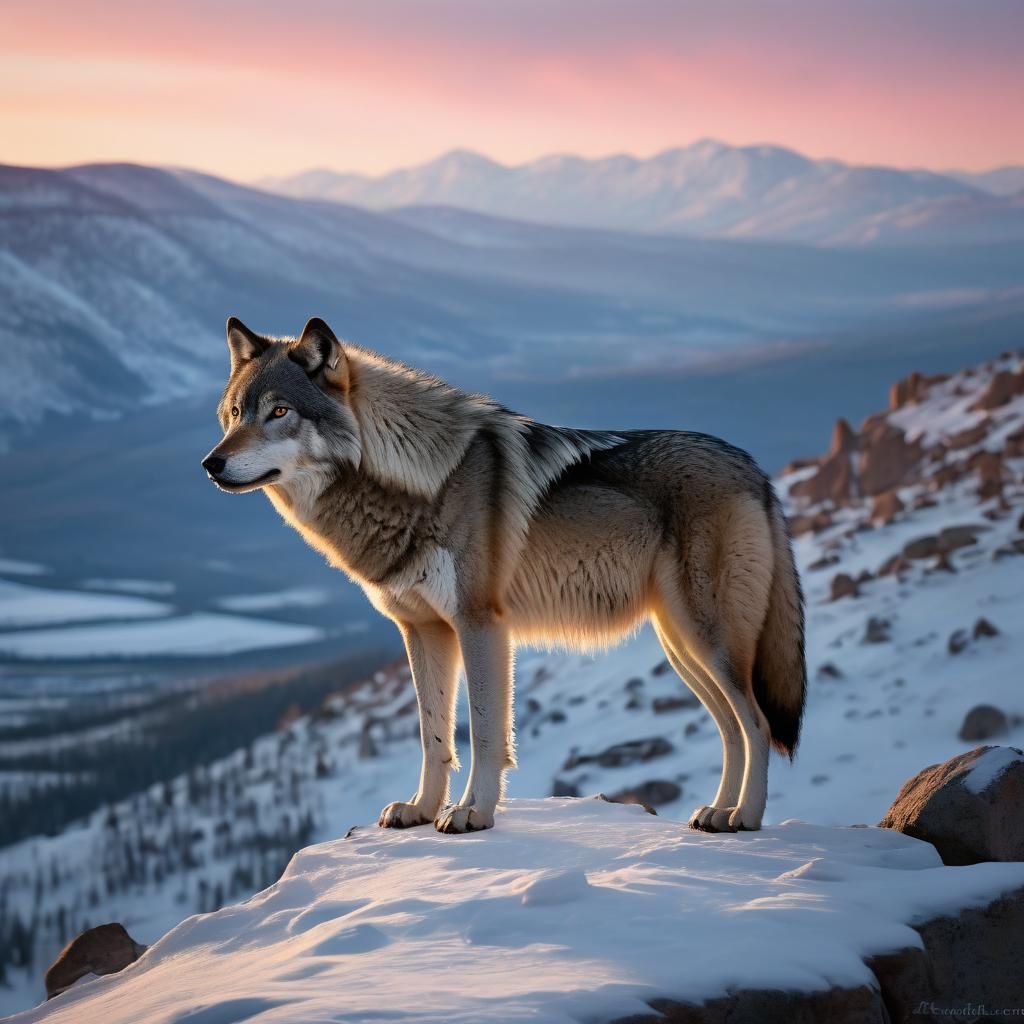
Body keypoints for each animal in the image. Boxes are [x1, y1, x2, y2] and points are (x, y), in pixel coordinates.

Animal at [202, 317, 805, 834]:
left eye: (280, 412)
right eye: (233, 413)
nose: (211, 464)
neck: (416, 482)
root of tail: (755, 470)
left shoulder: (480, 624)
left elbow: (487, 730)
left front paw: (473, 813)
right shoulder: (423, 630)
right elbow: (433, 735)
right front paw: (422, 809)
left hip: (709, 641)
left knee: (756, 725)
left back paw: (745, 818)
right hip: (682, 647)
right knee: (731, 730)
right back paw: (716, 812)